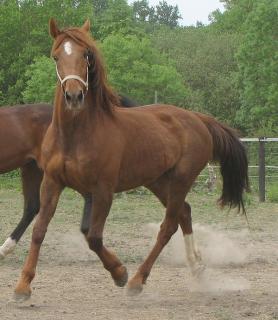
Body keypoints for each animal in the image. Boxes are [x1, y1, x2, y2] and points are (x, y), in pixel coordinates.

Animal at [14, 19, 249, 300]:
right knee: (184, 214)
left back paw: (138, 280)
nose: (74, 96)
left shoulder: (103, 191)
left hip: (181, 180)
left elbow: (94, 237)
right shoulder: (52, 182)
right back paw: (197, 268)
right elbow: (39, 230)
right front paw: (23, 285)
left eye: (86, 55)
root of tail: (198, 119)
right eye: (56, 56)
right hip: (158, 181)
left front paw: (119, 273)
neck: (75, 135)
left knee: (168, 226)